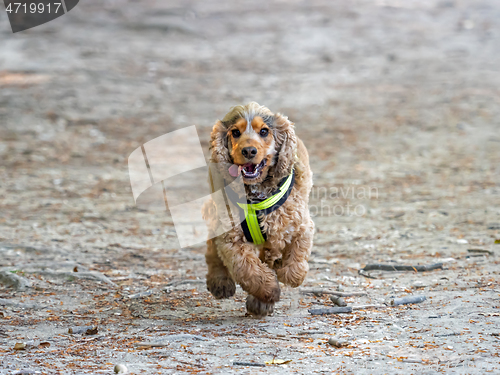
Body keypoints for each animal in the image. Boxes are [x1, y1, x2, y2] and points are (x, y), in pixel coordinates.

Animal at [202, 103, 312, 318]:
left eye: (264, 131)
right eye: (235, 132)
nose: (249, 151)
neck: (256, 196)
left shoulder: (300, 225)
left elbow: (296, 260)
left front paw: (288, 273)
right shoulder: (231, 238)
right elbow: (249, 270)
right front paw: (269, 291)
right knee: (212, 245)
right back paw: (220, 282)